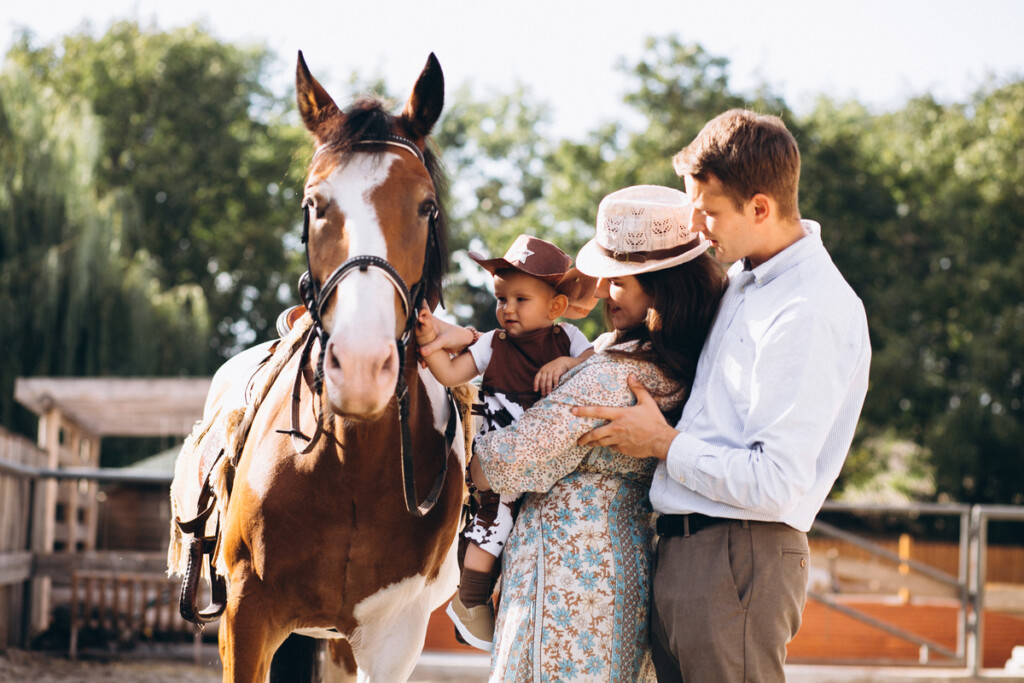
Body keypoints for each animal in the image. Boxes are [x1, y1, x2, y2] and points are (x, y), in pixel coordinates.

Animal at [168, 53, 468, 683]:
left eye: (426, 206)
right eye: (313, 204)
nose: (361, 364)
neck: (349, 465)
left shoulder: (392, 637)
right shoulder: (246, 616)